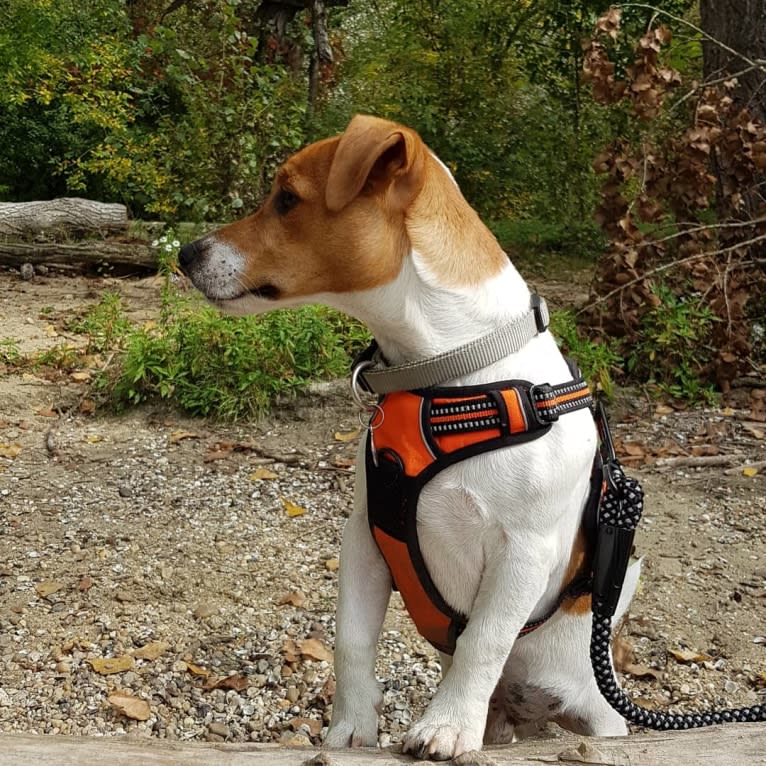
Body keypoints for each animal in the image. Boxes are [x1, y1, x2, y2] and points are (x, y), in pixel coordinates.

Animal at [177, 115, 640, 760]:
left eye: (287, 198)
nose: (184, 253)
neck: (448, 374)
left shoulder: (524, 553)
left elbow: (482, 641)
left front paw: (446, 724)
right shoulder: (366, 537)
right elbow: (351, 640)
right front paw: (350, 727)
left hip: (604, 711)